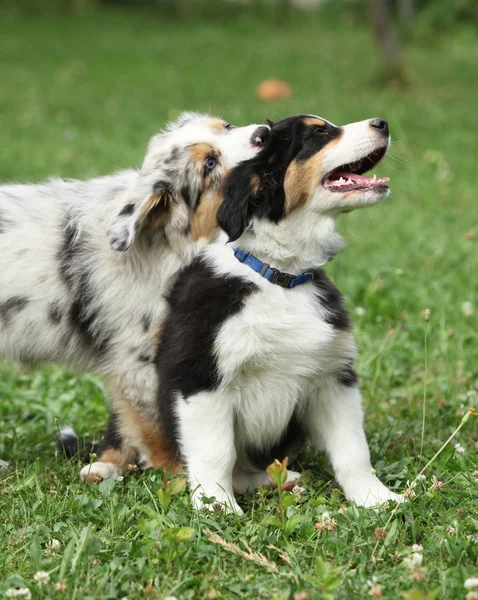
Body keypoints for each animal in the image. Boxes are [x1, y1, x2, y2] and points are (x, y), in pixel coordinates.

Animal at [0, 112, 268, 466]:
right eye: (209, 164)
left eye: (226, 126)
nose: (265, 133)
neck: (164, 242)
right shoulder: (137, 357)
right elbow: (158, 424)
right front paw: (176, 471)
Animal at [151, 115, 402, 512]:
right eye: (318, 133)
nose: (382, 122)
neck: (281, 277)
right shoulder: (199, 376)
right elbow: (216, 452)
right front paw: (217, 508)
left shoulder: (333, 376)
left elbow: (353, 448)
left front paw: (374, 498)